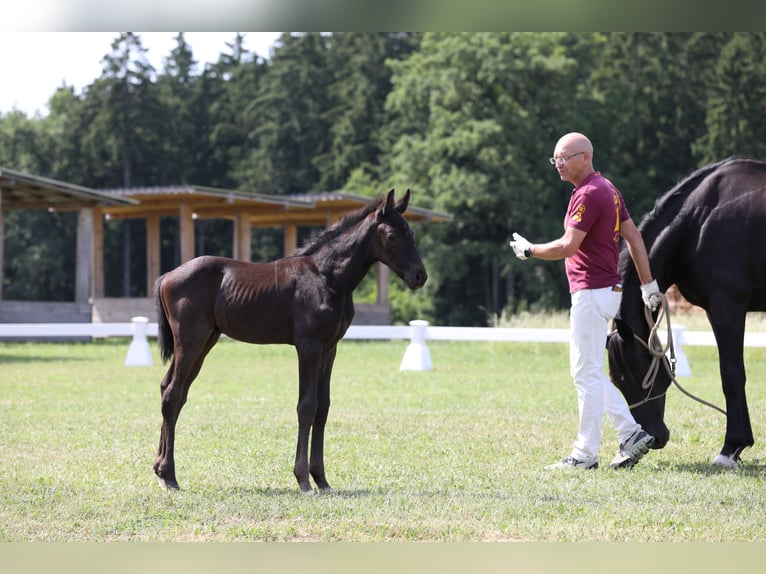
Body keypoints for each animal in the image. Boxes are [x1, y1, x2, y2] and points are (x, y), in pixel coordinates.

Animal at [152, 189, 427, 493]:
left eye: (412, 232)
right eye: (391, 236)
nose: (419, 276)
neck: (327, 277)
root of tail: (166, 277)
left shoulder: (330, 349)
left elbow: (323, 407)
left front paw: (322, 479)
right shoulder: (308, 346)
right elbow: (306, 406)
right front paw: (303, 479)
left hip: (205, 342)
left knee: (171, 390)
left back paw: (160, 470)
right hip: (191, 341)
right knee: (172, 393)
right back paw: (169, 476)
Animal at [607, 157, 766, 468]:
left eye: (635, 371)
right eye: (616, 380)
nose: (655, 438)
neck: (699, 222)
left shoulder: (727, 306)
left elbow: (731, 374)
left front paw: (730, 448)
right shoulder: (713, 310)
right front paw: (740, 445)